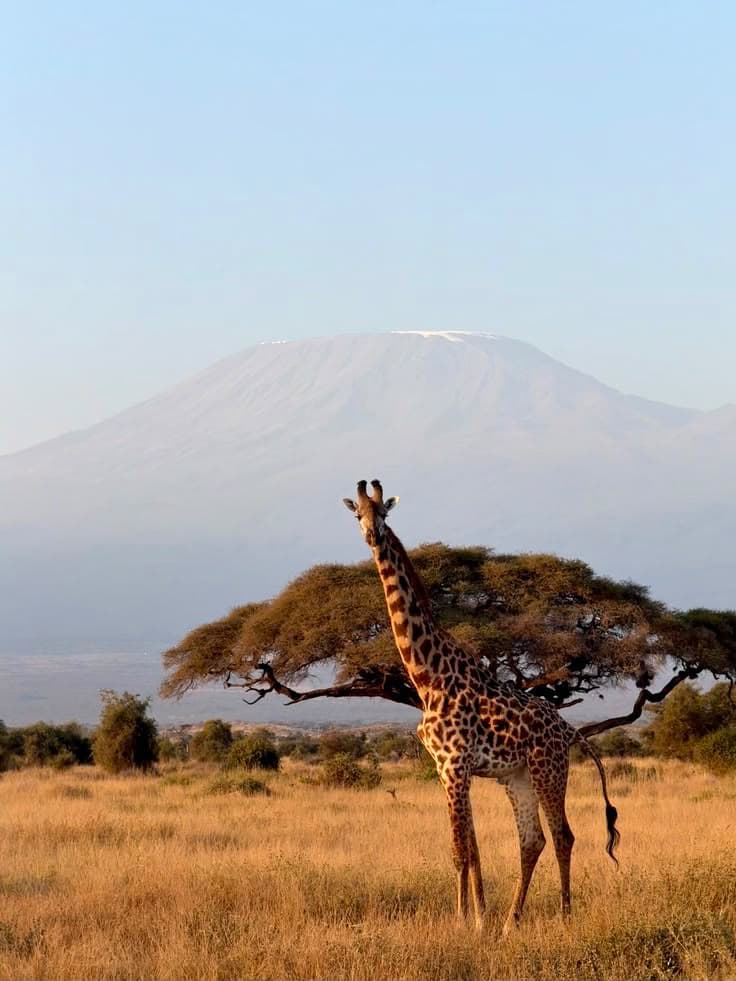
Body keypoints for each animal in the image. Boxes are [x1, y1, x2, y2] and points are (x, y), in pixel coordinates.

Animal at [343, 479, 619, 934]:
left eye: (384, 513)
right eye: (357, 514)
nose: (372, 535)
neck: (427, 675)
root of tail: (567, 728)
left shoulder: (455, 764)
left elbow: (459, 851)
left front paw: (462, 922)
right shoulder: (446, 767)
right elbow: (470, 850)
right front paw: (480, 919)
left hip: (548, 768)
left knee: (563, 835)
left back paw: (564, 916)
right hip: (516, 777)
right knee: (533, 840)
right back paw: (511, 922)